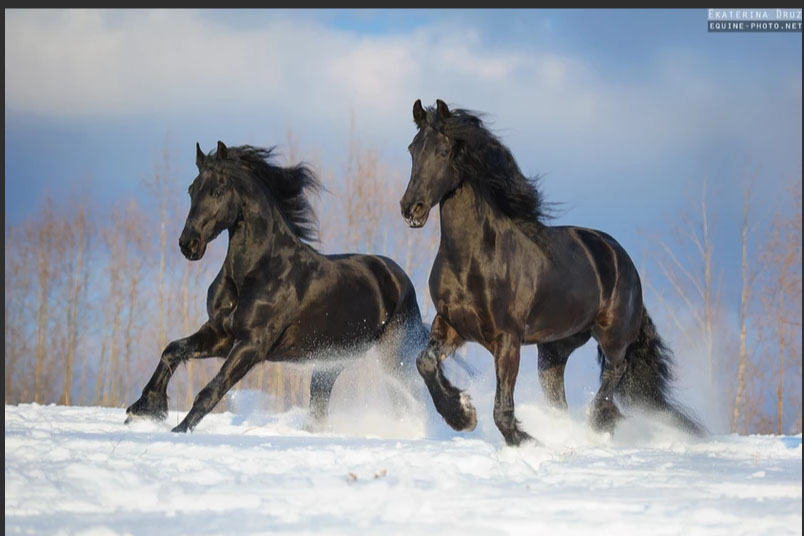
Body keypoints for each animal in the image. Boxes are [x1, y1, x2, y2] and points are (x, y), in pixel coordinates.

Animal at [125, 141, 428, 432]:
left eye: (219, 191)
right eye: (191, 190)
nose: (189, 244)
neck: (257, 271)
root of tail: (399, 278)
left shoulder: (252, 344)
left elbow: (212, 389)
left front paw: (179, 430)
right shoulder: (220, 334)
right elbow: (172, 350)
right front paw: (142, 410)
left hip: (393, 357)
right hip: (332, 362)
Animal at [398, 100, 700, 448]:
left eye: (444, 151)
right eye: (412, 149)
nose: (411, 209)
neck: (473, 260)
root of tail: (620, 257)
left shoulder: (507, 340)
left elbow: (502, 410)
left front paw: (523, 439)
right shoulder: (451, 325)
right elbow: (425, 362)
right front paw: (462, 413)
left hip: (611, 336)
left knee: (614, 374)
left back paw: (598, 423)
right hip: (554, 349)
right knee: (561, 395)